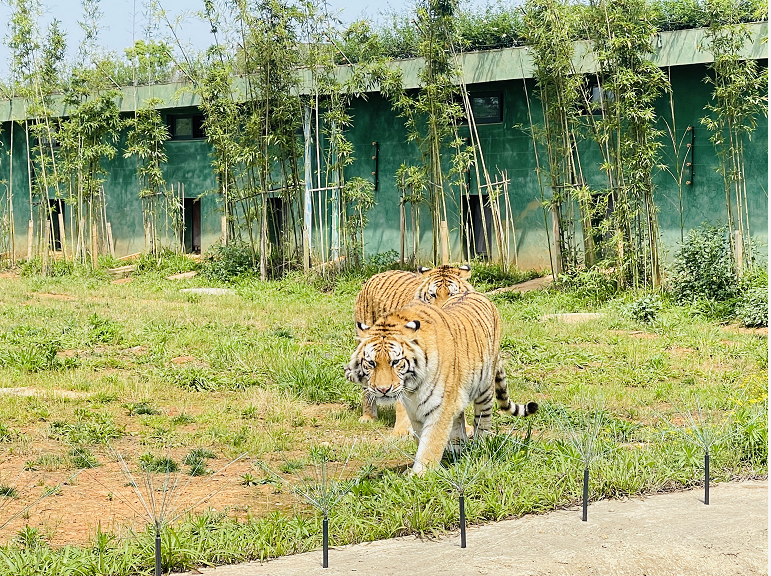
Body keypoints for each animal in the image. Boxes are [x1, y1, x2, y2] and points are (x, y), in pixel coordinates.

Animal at [346, 290, 540, 474]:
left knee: (482, 421)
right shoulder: (414, 411)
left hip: (484, 389)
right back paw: (457, 448)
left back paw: (479, 447)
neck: (412, 388)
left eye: (395, 362)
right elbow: (421, 438)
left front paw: (420, 474)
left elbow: (431, 441)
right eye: (371, 363)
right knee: (459, 421)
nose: (383, 389)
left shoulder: (440, 407)